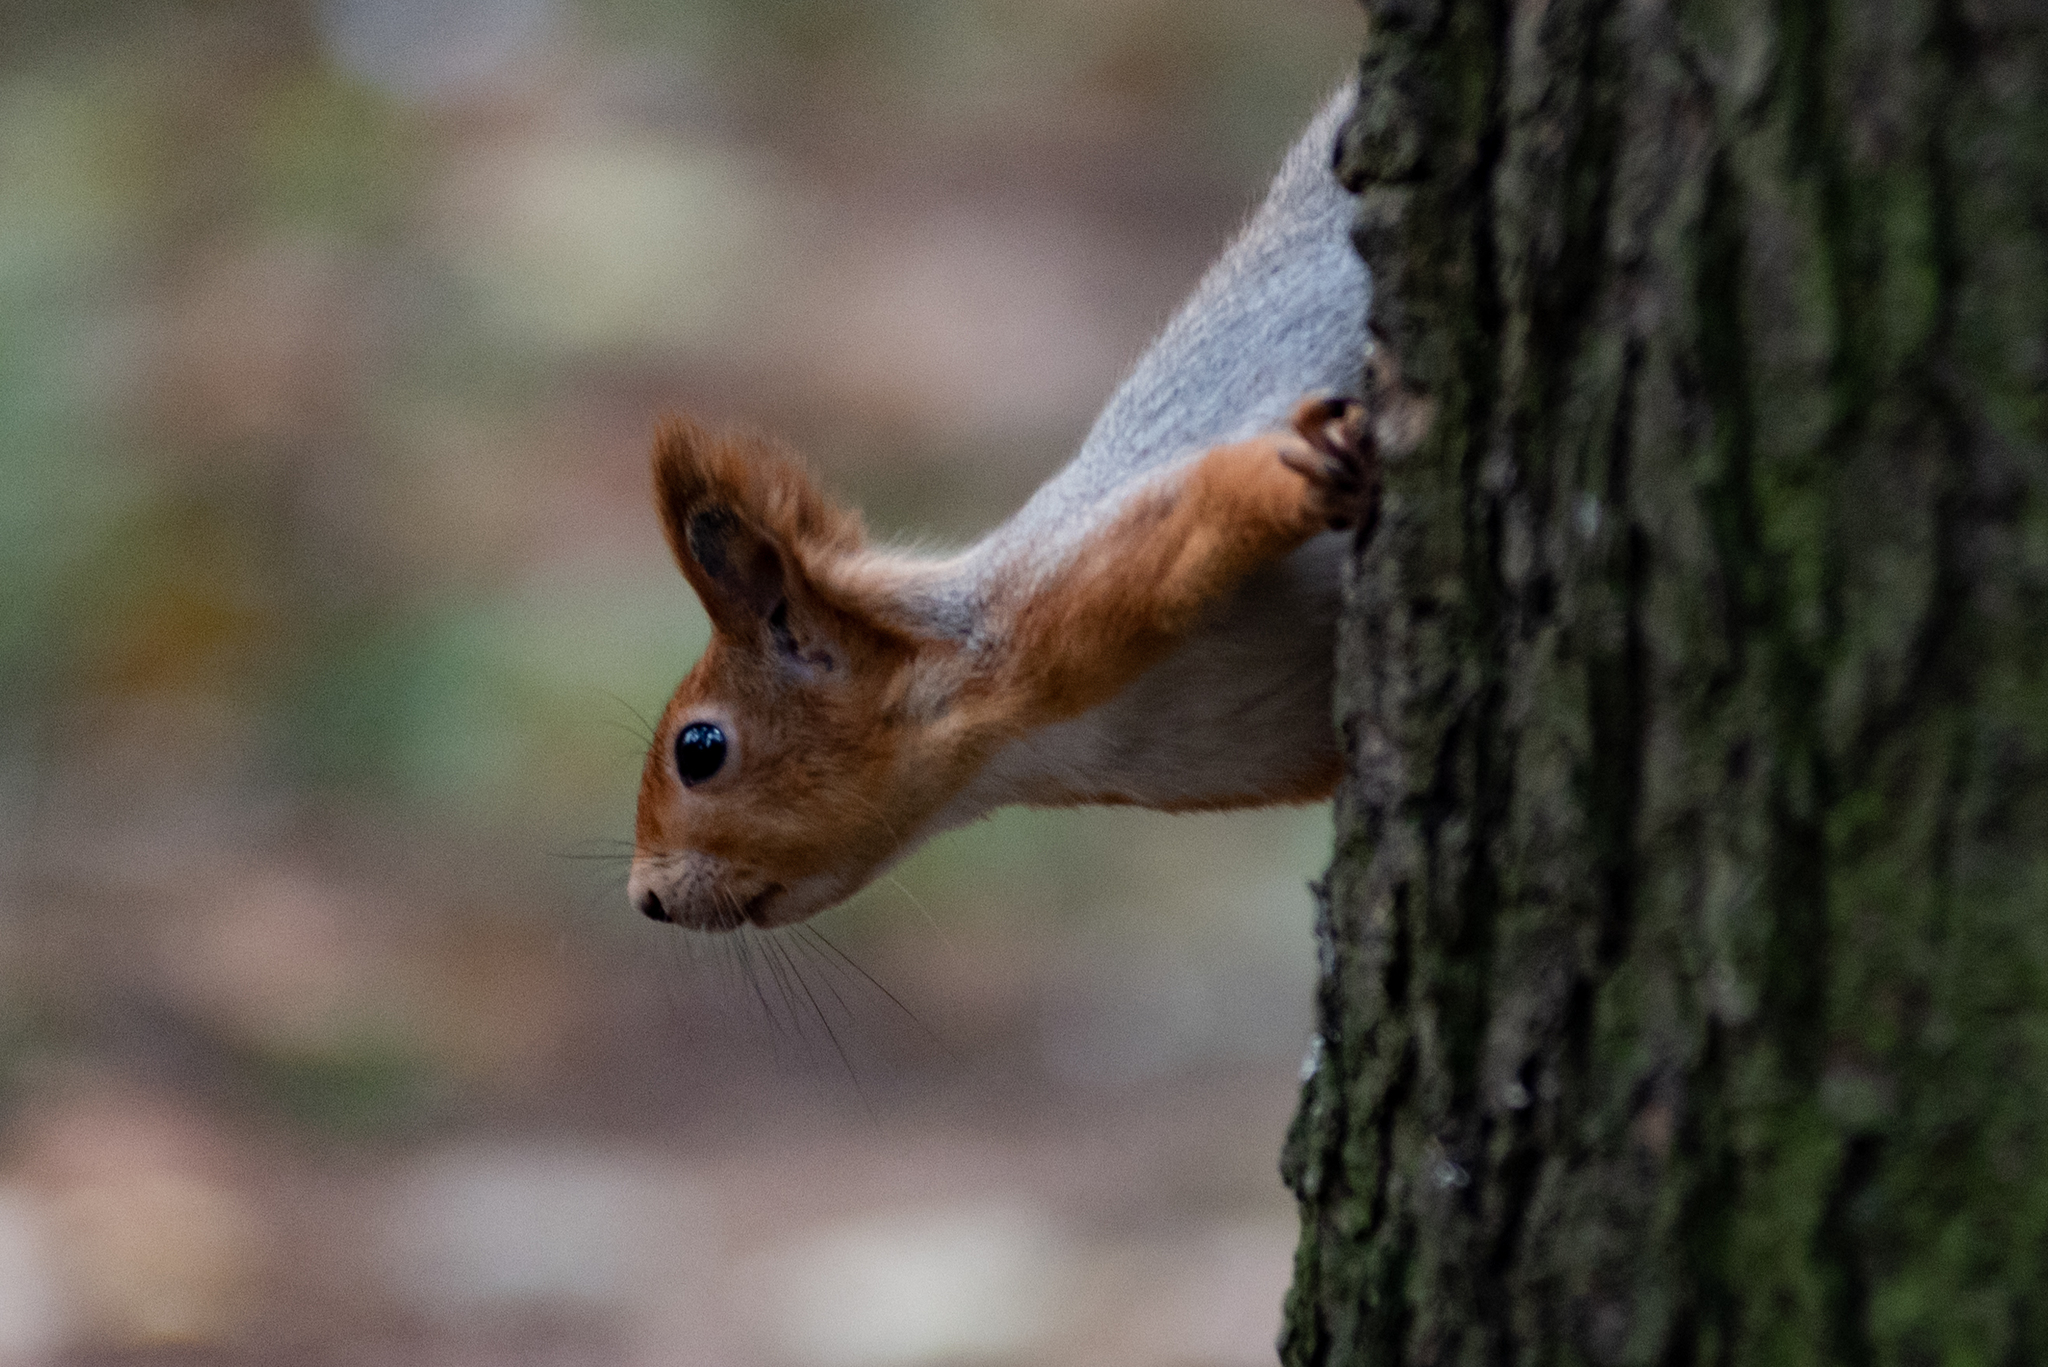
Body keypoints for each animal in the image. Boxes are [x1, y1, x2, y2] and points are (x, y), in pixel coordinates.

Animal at [622, 83, 1425, 930]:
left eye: (699, 749)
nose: (646, 898)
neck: (1015, 744)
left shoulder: (1081, 591)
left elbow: (1216, 495)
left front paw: (1314, 473)